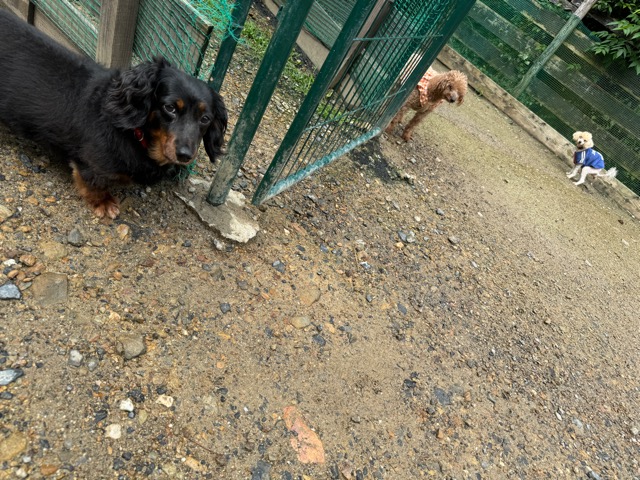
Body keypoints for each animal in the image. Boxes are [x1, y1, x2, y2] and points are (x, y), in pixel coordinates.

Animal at [0, 10, 227, 219]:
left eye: (205, 119)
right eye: (170, 108)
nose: (185, 155)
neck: (133, 133)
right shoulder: (91, 165)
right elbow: (94, 182)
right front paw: (103, 201)